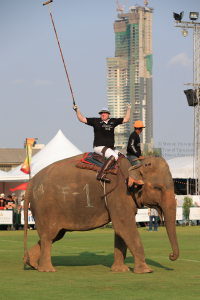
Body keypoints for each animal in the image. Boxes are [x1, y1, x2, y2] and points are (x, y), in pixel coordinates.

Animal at [23, 154, 178, 274]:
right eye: (159, 188)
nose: (171, 255)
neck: (133, 165)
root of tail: (33, 180)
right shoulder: (119, 193)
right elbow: (125, 227)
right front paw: (146, 270)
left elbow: (120, 231)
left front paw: (120, 270)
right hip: (45, 207)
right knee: (48, 236)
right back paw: (47, 270)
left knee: (55, 235)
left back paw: (31, 262)